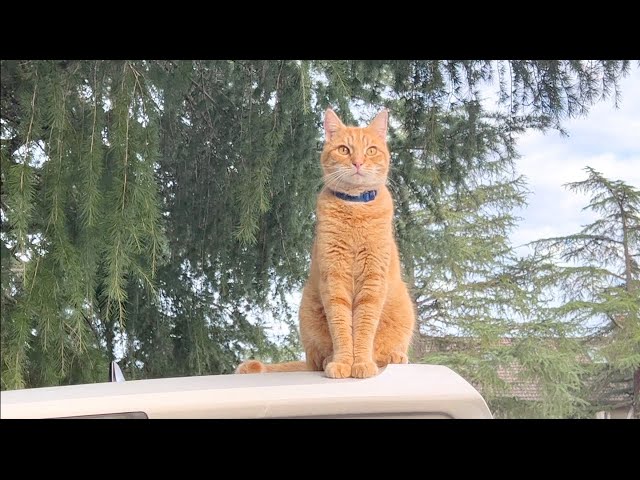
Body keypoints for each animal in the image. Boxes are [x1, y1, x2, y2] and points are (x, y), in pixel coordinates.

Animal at [235, 109, 416, 378]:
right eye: (344, 149)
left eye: (371, 150)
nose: (358, 162)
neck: (354, 209)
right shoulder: (334, 279)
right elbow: (341, 327)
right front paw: (343, 362)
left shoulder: (372, 280)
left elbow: (364, 327)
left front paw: (361, 363)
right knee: (317, 359)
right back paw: (330, 359)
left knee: (385, 350)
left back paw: (395, 356)